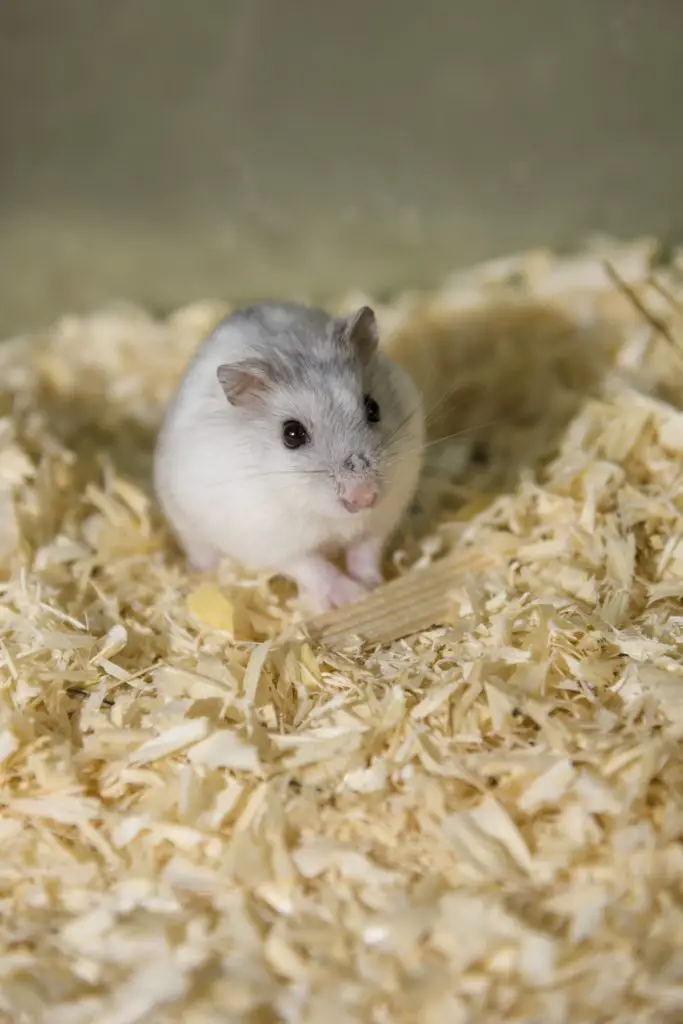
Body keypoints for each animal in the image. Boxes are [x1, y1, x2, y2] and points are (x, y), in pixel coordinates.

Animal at [153, 301, 425, 613]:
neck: (324, 514)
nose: (364, 498)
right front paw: (352, 595)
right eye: (292, 434)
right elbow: (314, 568)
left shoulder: (383, 515)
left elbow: (366, 550)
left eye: (373, 408)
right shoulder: (274, 542)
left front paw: (372, 585)